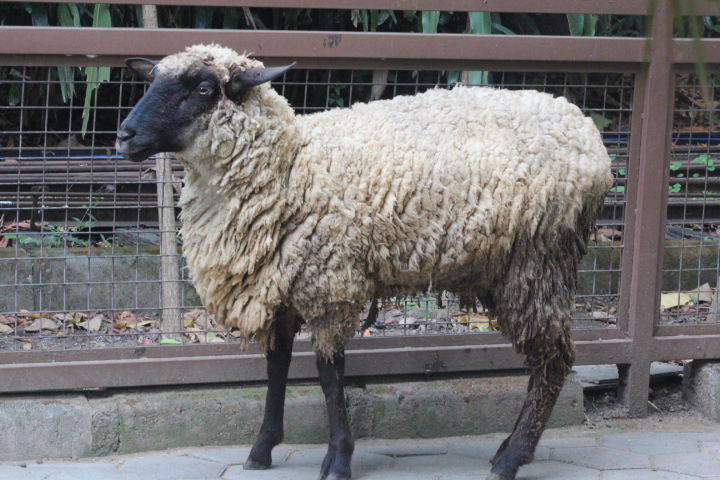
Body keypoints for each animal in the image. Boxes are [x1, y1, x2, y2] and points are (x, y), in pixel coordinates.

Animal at [116, 44, 614, 480]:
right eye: (152, 79)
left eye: (203, 88)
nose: (124, 135)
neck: (289, 166)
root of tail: (590, 136)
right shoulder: (282, 282)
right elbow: (276, 366)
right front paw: (262, 448)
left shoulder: (330, 281)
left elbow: (328, 375)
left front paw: (338, 458)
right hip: (509, 269)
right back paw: (508, 448)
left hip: (539, 261)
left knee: (553, 361)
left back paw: (511, 459)